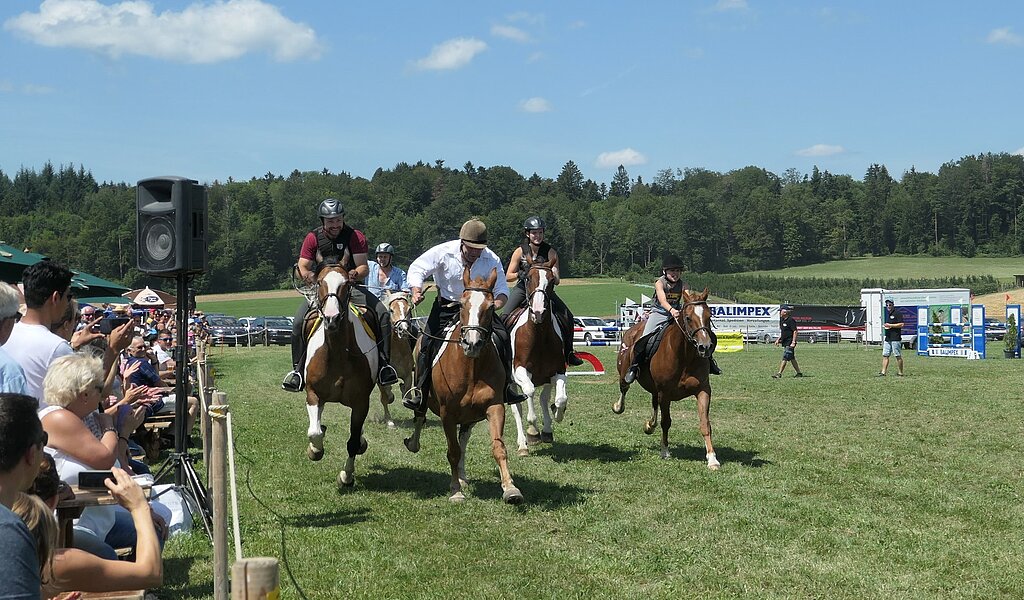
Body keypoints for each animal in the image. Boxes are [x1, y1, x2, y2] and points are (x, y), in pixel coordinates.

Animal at [305, 260, 382, 485]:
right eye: (319, 282)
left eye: (347, 283)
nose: (332, 318)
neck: (337, 353)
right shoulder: (313, 394)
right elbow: (314, 432)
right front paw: (315, 450)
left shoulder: (361, 402)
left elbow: (353, 441)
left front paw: (346, 476)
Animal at [376, 288, 415, 425]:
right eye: (392, 310)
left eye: (408, 310)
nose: (403, 329)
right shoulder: (381, 379)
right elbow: (385, 398)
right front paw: (389, 421)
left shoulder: (408, 375)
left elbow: (407, 395)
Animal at [401, 264, 524, 499]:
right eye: (462, 304)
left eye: (490, 307)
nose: (472, 344)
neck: (471, 369)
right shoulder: (447, 413)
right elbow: (453, 451)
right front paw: (456, 492)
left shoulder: (494, 407)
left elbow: (498, 448)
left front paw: (510, 488)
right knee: (420, 417)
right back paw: (413, 444)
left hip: (470, 415)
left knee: (464, 438)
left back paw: (462, 476)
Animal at [507, 259, 573, 454]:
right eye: (528, 278)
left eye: (551, 280)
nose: (538, 312)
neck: (539, 334)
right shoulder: (520, 371)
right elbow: (529, 393)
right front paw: (533, 432)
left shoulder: (558, 371)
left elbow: (560, 399)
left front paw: (557, 413)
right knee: (517, 408)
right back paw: (523, 444)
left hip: (545, 378)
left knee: (544, 398)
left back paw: (547, 430)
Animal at [610, 286, 724, 466]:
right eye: (688, 318)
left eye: (709, 316)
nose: (705, 347)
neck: (684, 355)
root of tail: (632, 329)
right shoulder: (665, 393)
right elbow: (666, 422)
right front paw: (664, 451)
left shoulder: (703, 390)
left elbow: (705, 423)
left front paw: (712, 458)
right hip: (625, 372)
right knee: (624, 388)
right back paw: (618, 407)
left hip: (655, 388)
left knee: (653, 402)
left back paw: (650, 425)